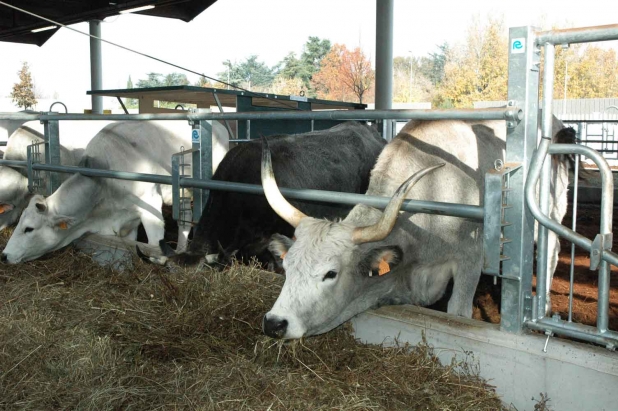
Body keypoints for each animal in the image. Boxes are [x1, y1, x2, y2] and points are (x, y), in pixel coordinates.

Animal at [1, 120, 227, 266]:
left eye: (29, 229)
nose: (4, 255)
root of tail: (218, 125)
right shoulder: (126, 220)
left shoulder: (150, 207)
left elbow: (153, 245)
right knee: (184, 220)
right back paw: (180, 249)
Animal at [258, 117, 572, 340]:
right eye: (287, 266)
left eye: (330, 274)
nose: (274, 323)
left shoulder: (469, 261)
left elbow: (459, 311)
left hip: (552, 214)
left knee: (552, 252)